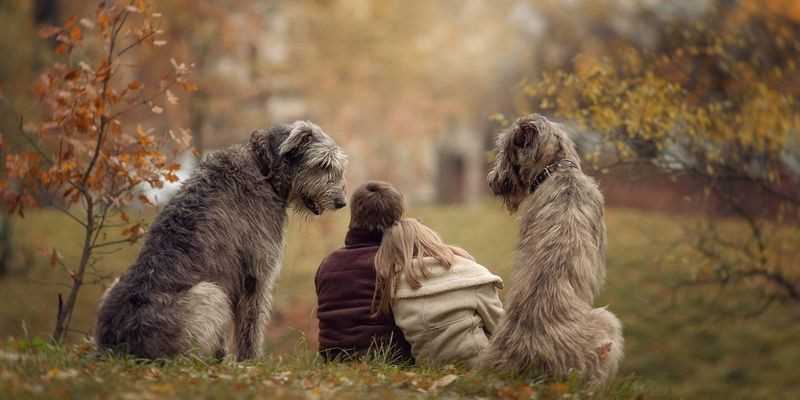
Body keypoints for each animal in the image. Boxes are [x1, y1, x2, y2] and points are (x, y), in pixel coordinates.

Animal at [95, 120, 346, 360]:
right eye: (323, 164)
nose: (341, 202)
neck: (263, 168)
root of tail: (117, 344)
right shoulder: (257, 273)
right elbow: (251, 325)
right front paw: (250, 361)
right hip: (210, 293)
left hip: (114, 287)